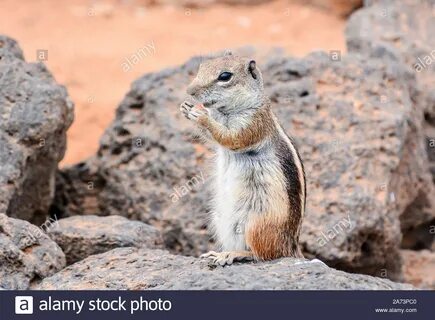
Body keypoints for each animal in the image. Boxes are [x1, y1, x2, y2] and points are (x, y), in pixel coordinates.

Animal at [181, 53, 306, 266]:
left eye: (225, 76)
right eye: (201, 66)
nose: (190, 91)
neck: (224, 112)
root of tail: (291, 247)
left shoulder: (253, 123)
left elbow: (230, 138)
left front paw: (201, 116)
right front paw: (186, 108)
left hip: (256, 225)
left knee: (264, 254)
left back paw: (232, 254)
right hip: (219, 218)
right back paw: (218, 253)